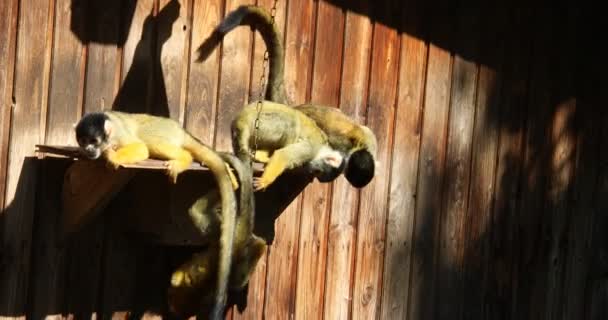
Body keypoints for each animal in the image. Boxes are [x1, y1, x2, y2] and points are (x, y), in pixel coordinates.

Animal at [74, 110, 238, 320]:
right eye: (84, 141)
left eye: (94, 140)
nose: (88, 149)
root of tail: (181, 129)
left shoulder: (118, 135)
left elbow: (141, 148)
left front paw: (113, 158)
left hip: (164, 130)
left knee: (150, 141)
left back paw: (183, 158)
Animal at [167, 153, 264, 318]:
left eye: (172, 295)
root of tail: (236, 245)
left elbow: (177, 278)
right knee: (238, 282)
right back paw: (259, 245)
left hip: (216, 229)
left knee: (196, 213)